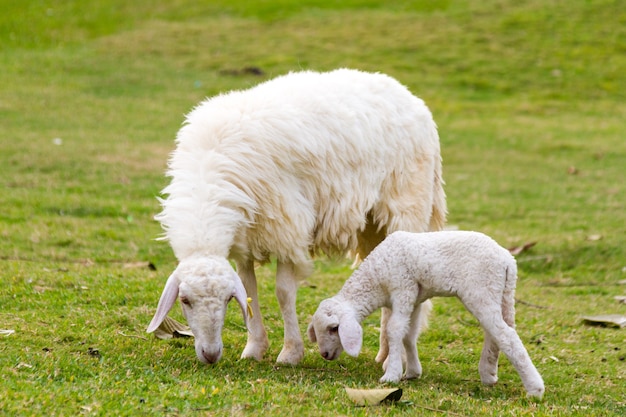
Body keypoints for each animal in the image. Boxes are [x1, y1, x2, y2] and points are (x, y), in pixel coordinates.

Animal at [145, 68, 444, 364]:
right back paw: (383, 352)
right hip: (371, 225)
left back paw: (394, 355)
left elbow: (283, 293)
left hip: (407, 206)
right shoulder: (246, 237)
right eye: (185, 300)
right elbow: (250, 288)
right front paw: (254, 348)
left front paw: (290, 352)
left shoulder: (287, 226)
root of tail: (410, 96)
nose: (210, 354)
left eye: (228, 299)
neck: (208, 179)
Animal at [310, 229, 544, 398]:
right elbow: (409, 334)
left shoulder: (402, 288)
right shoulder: (414, 298)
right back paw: (489, 373)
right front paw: (412, 372)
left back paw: (535, 389)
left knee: (506, 335)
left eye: (334, 328)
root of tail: (508, 260)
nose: (325, 354)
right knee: (498, 332)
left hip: (481, 289)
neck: (376, 280)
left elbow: (394, 330)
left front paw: (391, 375)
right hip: (500, 293)